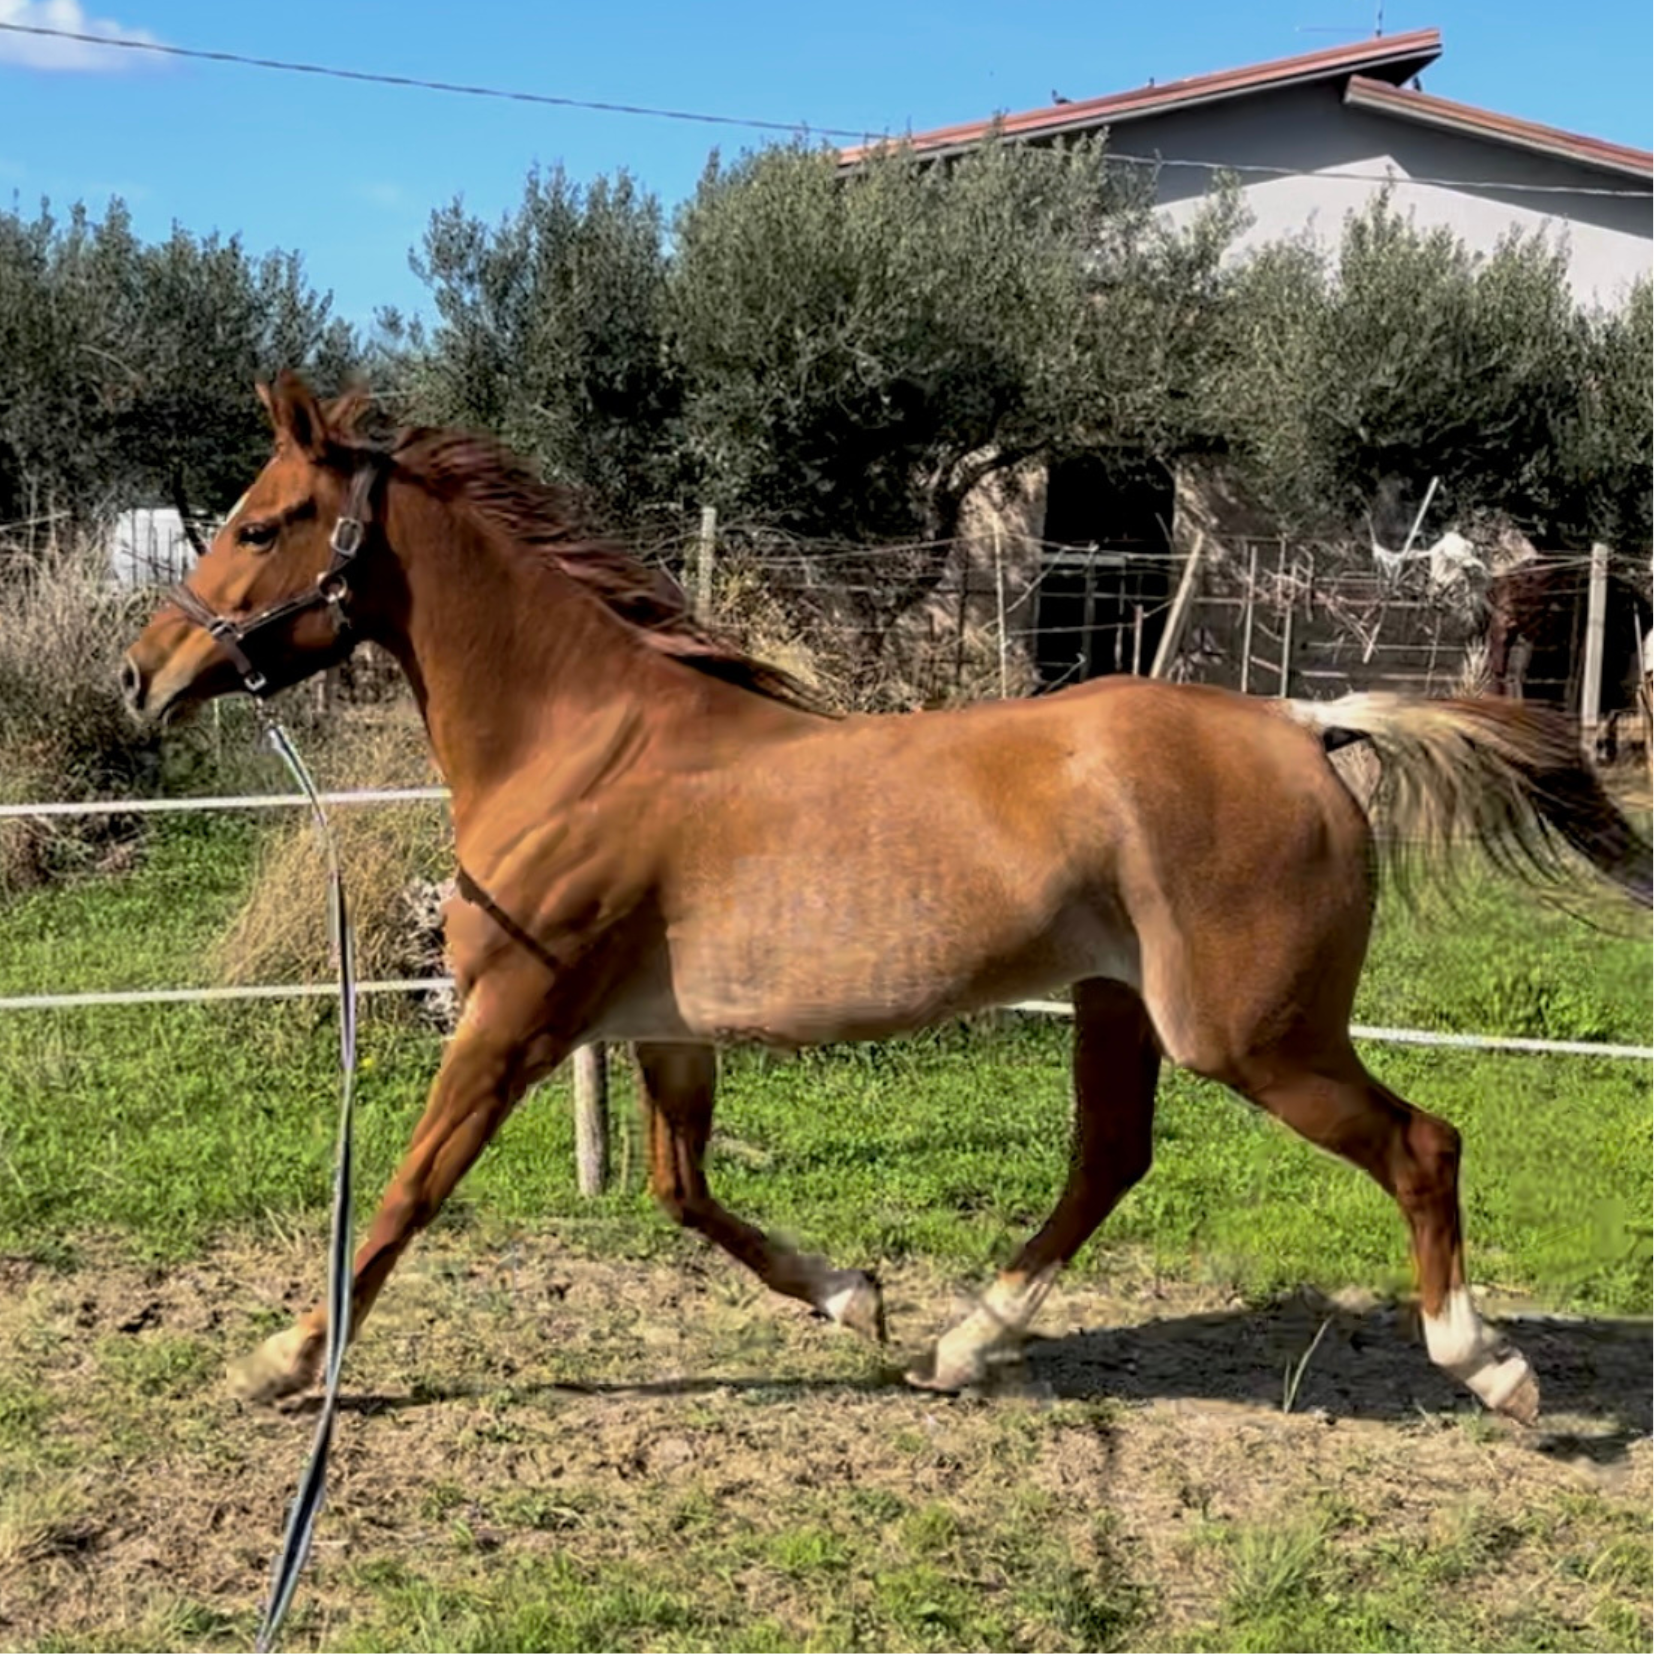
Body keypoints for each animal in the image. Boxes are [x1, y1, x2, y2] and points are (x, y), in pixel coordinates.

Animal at [122, 374, 1651, 1425]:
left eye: (260, 522)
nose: (141, 674)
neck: (590, 744)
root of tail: (1302, 722)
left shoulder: (513, 1019)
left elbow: (401, 1193)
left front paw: (282, 1359)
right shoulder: (660, 1027)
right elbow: (681, 1187)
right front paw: (852, 1298)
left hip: (1250, 1034)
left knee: (1422, 1144)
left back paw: (1489, 1367)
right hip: (1118, 1005)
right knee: (1110, 1159)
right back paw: (964, 1344)